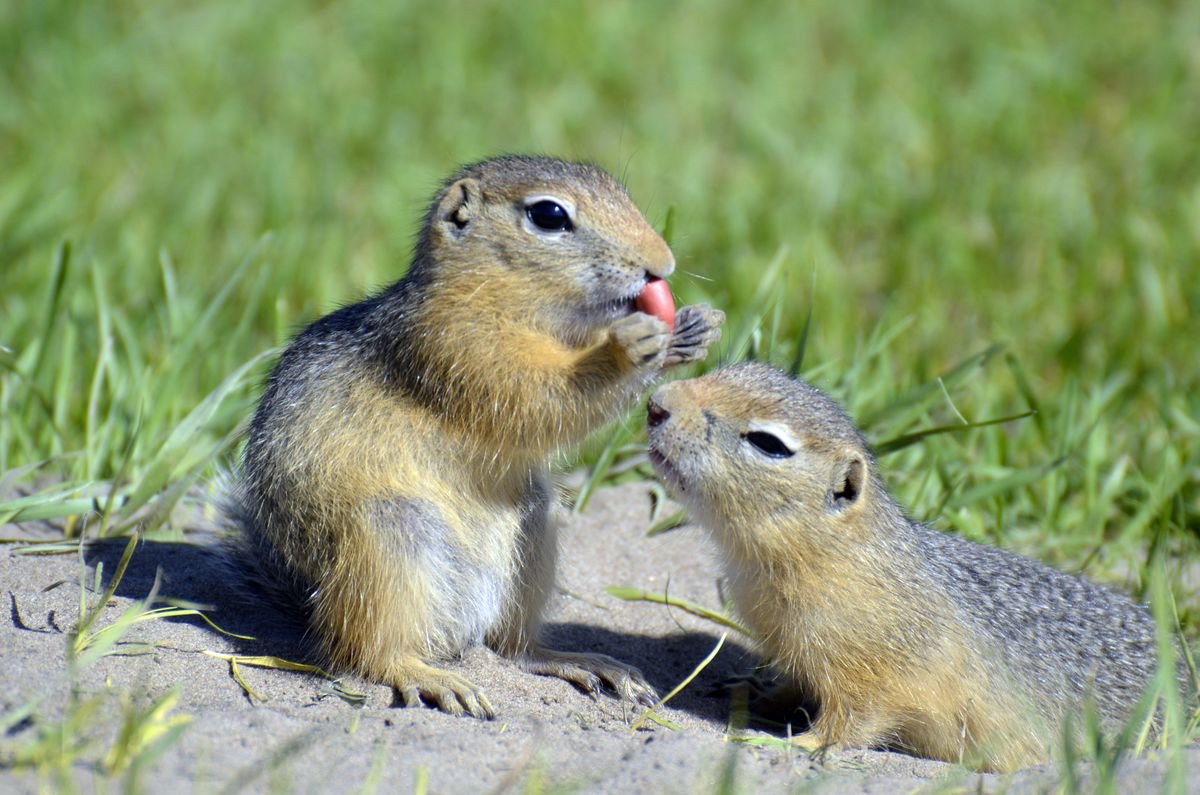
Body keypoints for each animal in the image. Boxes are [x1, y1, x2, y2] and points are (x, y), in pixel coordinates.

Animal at [230, 153, 724, 715]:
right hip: (390, 539)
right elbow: (539, 397)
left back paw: (578, 661)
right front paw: (628, 349)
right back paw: (430, 676)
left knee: (510, 647)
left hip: (533, 535)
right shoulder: (455, 347)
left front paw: (693, 329)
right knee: (367, 653)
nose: (661, 264)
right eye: (549, 215)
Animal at [643, 362, 1185, 773]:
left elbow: (851, 721)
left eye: (768, 442)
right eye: (729, 368)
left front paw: (791, 744)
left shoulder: (878, 674)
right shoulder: (801, 653)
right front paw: (751, 691)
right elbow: (794, 684)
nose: (656, 403)